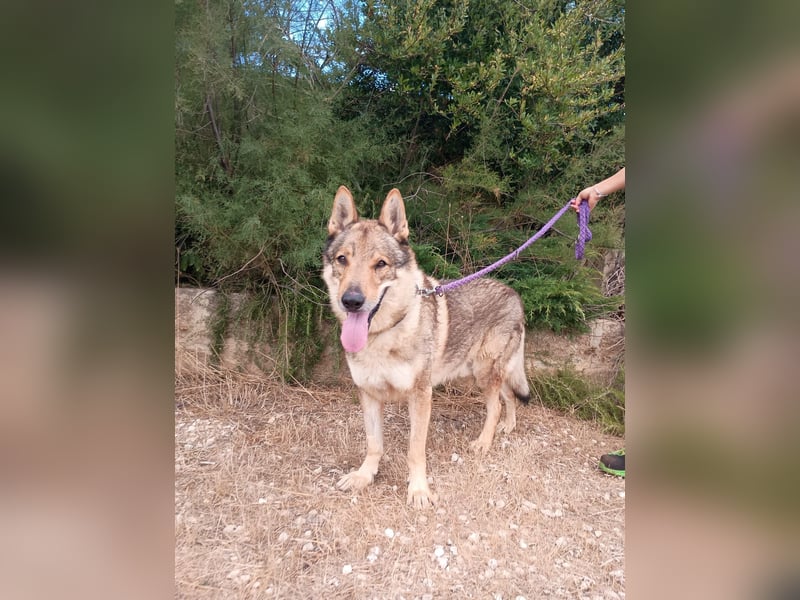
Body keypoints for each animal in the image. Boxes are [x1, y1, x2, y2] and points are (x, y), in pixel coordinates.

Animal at [322, 186, 530, 508]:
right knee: (507, 396)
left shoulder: (421, 396)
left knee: (495, 405)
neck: (383, 336)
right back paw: (507, 426)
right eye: (343, 259)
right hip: (481, 373)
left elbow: (415, 450)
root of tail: (515, 295)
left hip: (484, 373)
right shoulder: (368, 394)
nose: (352, 301)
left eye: (380, 264)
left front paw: (419, 491)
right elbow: (374, 444)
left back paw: (485, 441)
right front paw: (364, 476)